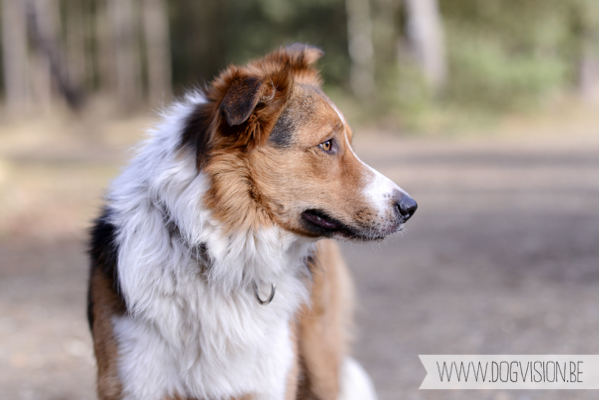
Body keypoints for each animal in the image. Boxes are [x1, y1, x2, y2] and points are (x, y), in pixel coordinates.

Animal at [88, 43, 418, 400]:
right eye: (327, 144)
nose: (410, 207)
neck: (217, 253)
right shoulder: (136, 380)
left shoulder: (269, 381)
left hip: (320, 362)